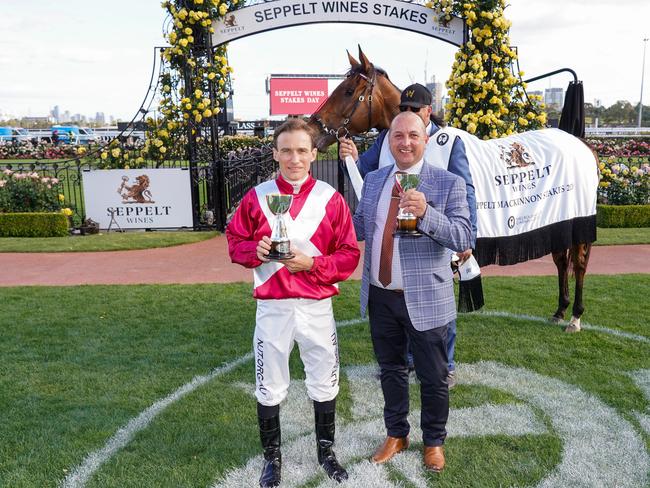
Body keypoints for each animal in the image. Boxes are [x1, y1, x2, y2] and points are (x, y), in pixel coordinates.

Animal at [308, 45, 596, 332]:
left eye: (348, 91)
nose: (313, 129)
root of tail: (581, 142)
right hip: (559, 222)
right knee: (561, 261)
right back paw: (559, 310)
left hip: (579, 222)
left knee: (580, 264)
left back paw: (575, 317)